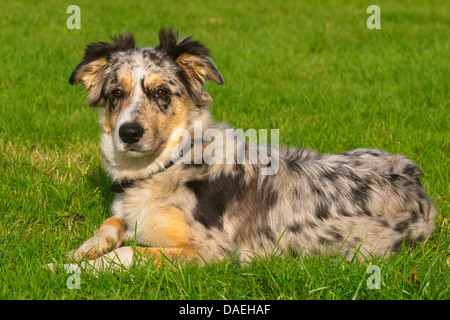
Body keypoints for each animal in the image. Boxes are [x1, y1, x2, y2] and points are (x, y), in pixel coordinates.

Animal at [52, 28, 436, 272]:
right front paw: (73, 254)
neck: (168, 165)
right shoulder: (128, 215)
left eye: (161, 93)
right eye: (116, 93)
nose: (128, 133)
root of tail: (416, 180)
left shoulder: (211, 252)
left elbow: (128, 253)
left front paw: (68, 270)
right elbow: (110, 223)